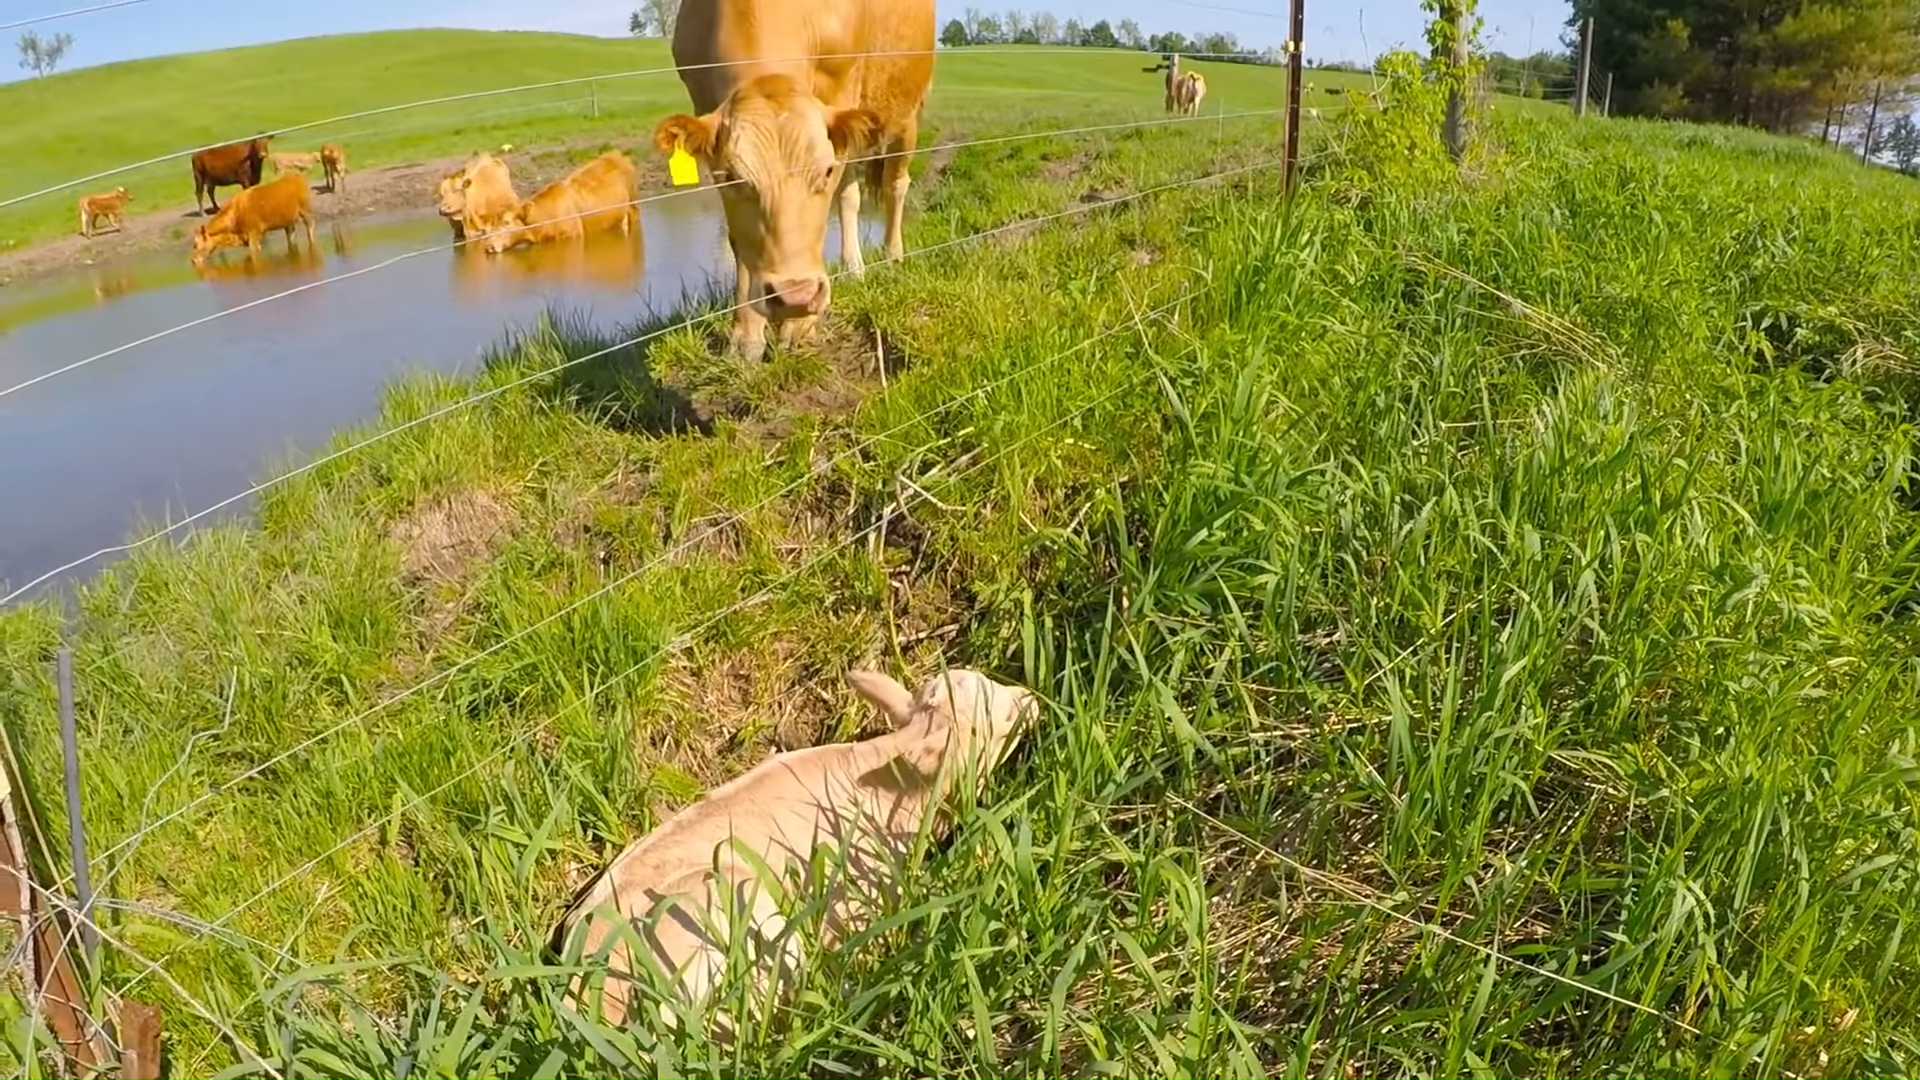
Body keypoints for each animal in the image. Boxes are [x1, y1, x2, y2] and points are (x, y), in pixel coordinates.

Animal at [481, 150, 638, 255]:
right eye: (492, 223)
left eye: (506, 222)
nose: (489, 246)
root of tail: (615, 154)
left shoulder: (572, 237)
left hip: (633, 205)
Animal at [648, 0, 936, 361]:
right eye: (731, 176)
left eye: (826, 170)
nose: (796, 297)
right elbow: (740, 241)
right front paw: (746, 333)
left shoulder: (841, 96)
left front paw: (799, 326)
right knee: (850, 197)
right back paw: (853, 268)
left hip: (907, 111)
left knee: (895, 185)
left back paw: (893, 256)